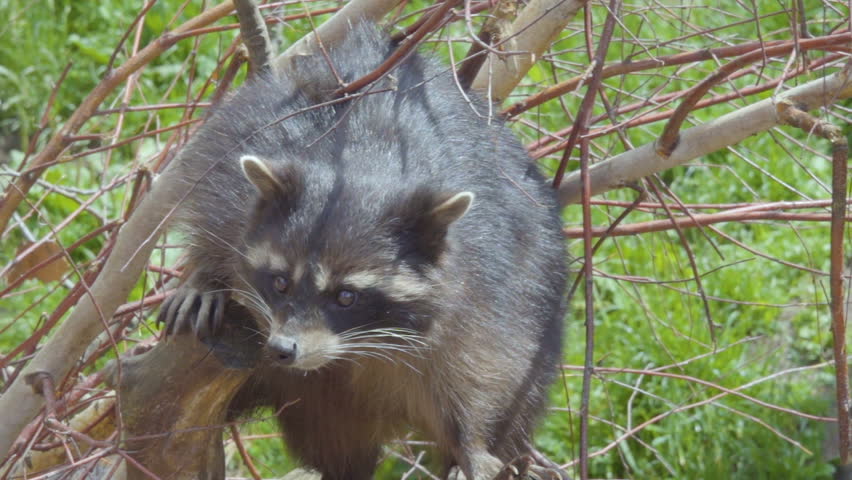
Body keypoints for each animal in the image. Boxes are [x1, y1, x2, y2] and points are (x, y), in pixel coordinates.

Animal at [163, 21, 568, 480]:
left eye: (346, 296)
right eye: (281, 283)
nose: (283, 349)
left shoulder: (490, 279)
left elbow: (482, 365)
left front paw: (473, 440)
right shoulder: (242, 166)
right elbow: (213, 214)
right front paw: (205, 274)